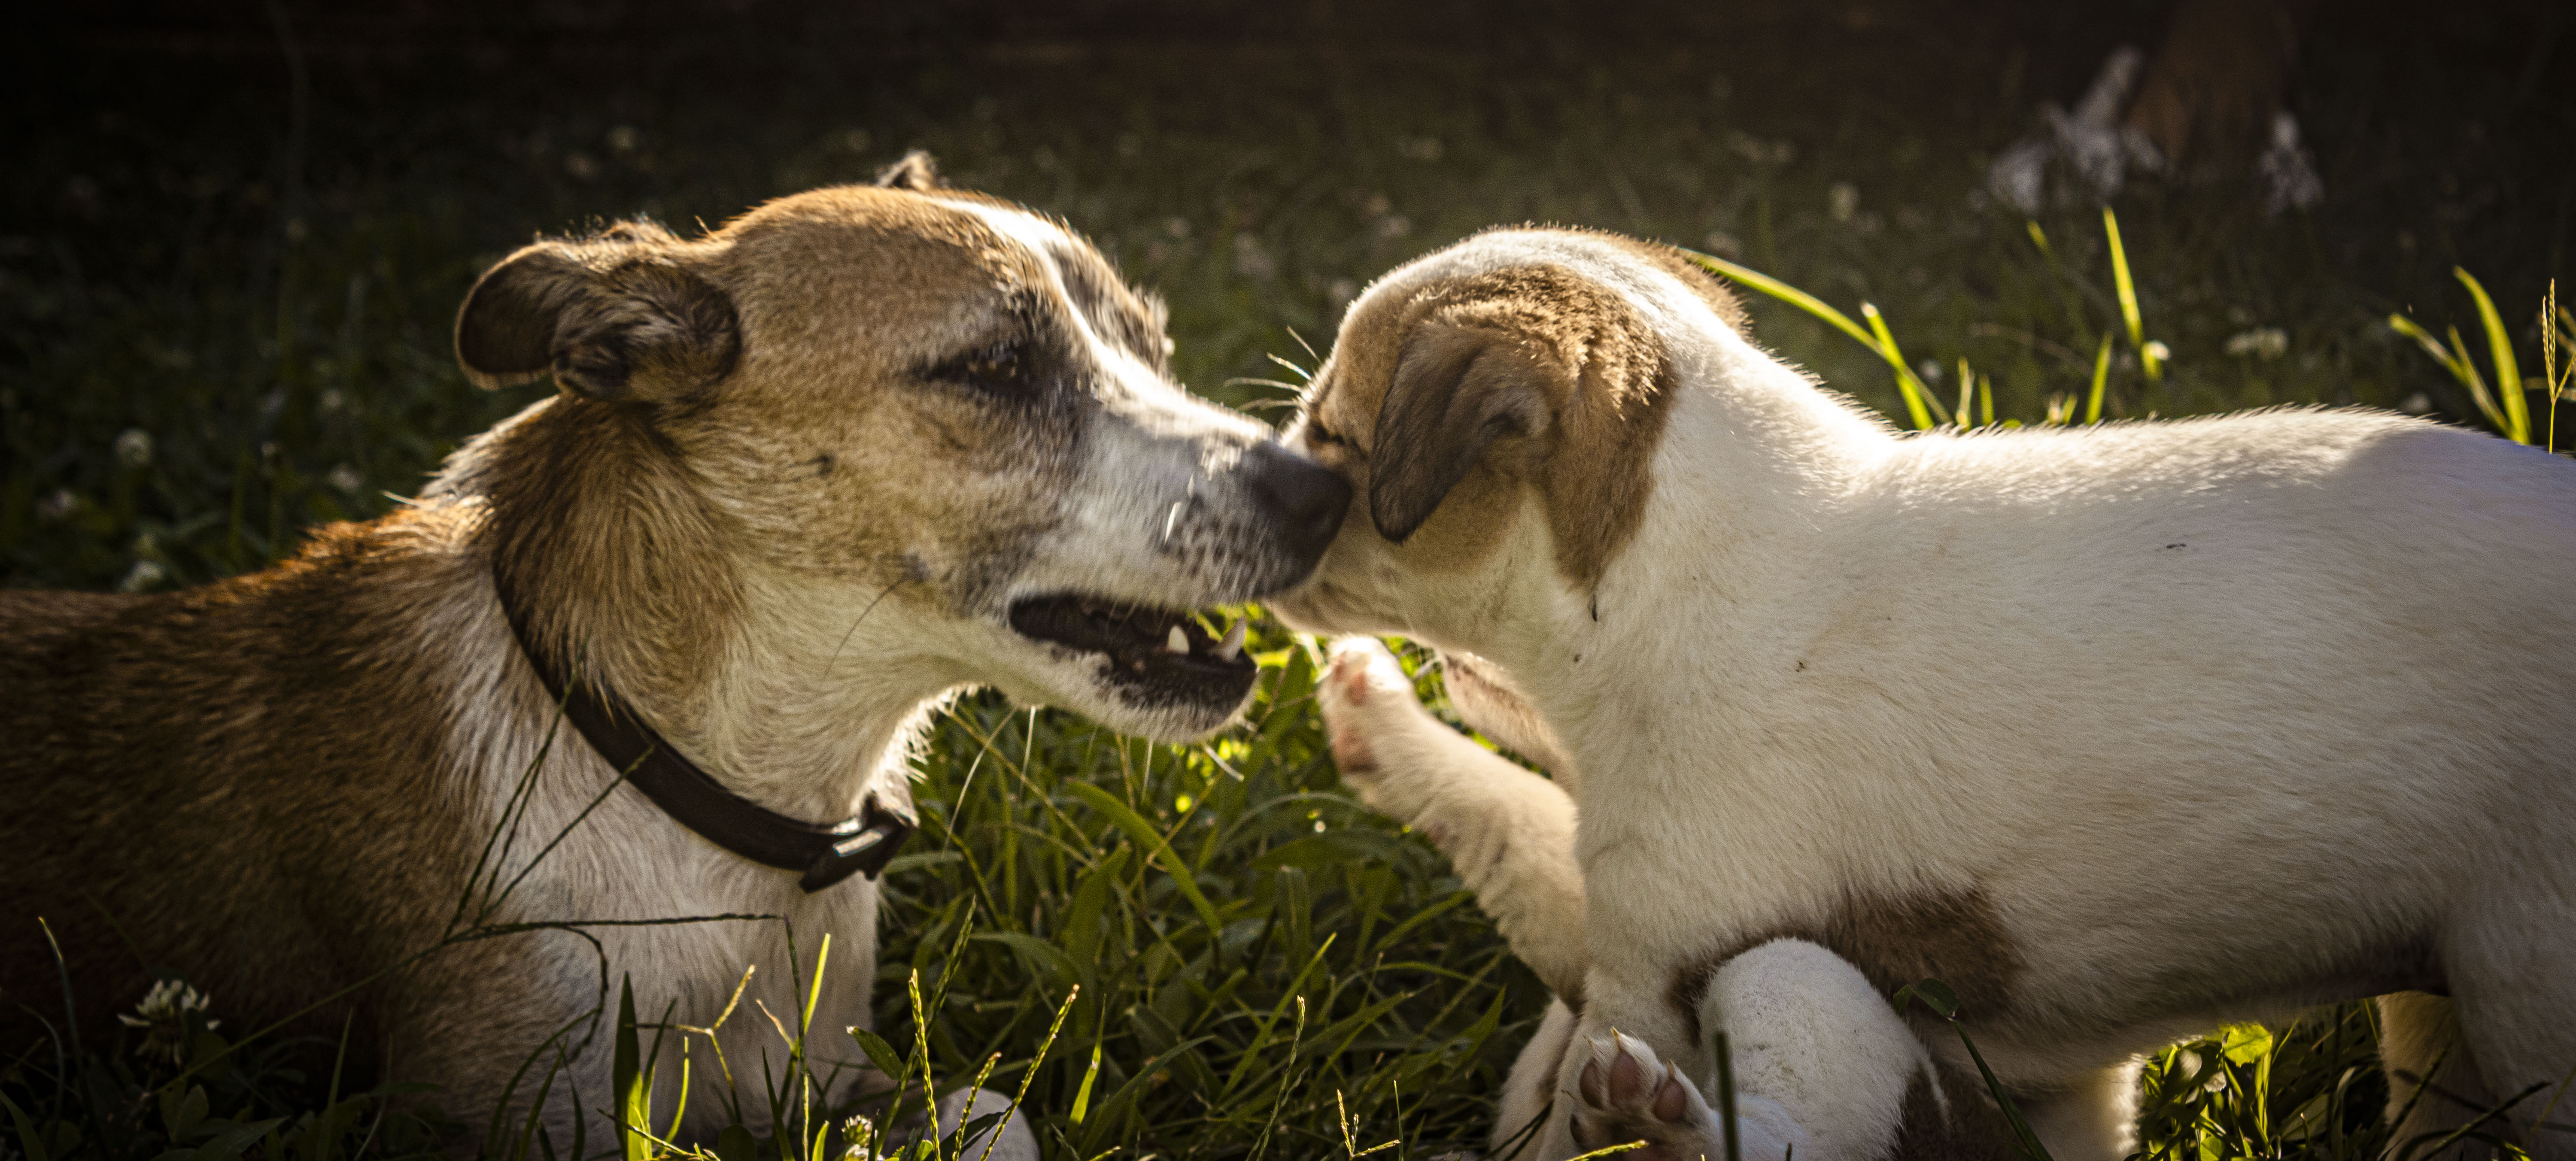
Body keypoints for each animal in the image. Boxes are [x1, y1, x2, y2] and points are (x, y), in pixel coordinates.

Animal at [0, 159, 1350, 1158]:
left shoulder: (827, 1070)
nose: (1325, 489)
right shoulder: (515, 1108)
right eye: (994, 367)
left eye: (1152, 346)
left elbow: (995, 1115)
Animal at [1267, 227, 2576, 1161]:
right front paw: (1381, 722)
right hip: (2436, 1011)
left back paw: (1656, 1126)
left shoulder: (1656, 956)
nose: (1261, 480)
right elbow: (1523, 839)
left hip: (2527, 980)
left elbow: (1567, 1097)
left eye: (1330, 434)